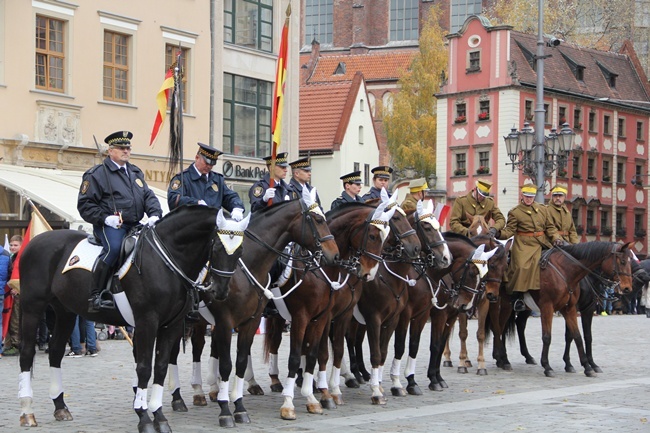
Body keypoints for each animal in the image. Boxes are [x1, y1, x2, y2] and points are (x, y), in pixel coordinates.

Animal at [17, 206, 247, 432]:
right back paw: (27, 411)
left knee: (55, 352)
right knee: (27, 354)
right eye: (217, 247)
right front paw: (144, 418)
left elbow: (161, 366)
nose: (220, 291)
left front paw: (159, 416)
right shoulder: (147, 322)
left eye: (240, 251)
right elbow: (144, 368)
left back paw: (60, 407)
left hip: (65, 311)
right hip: (32, 307)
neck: (166, 261)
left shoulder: (171, 325)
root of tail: (37, 241)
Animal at [492, 241, 632, 376]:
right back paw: (503, 359)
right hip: (505, 305)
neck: (566, 272)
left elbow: (580, 336)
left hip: (525, 308)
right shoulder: (548, 307)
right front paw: (550, 366)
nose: (627, 288)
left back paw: (522, 357)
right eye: (623, 261)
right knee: (499, 328)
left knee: (518, 324)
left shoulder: (577, 309)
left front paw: (589, 366)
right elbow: (549, 337)